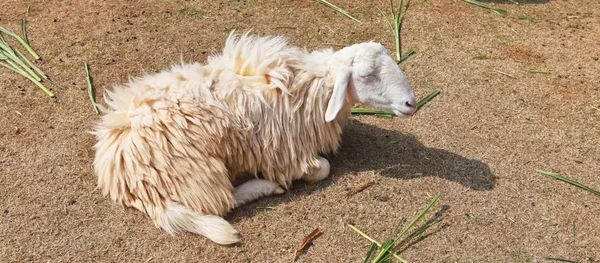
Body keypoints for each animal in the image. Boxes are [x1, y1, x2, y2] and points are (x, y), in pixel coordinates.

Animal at [92, 32, 418, 246]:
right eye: (366, 75)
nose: (411, 104)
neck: (312, 88)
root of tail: (121, 178)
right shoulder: (284, 152)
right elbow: (322, 169)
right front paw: (299, 176)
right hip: (198, 171)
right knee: (221, 204)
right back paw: (264, 187)